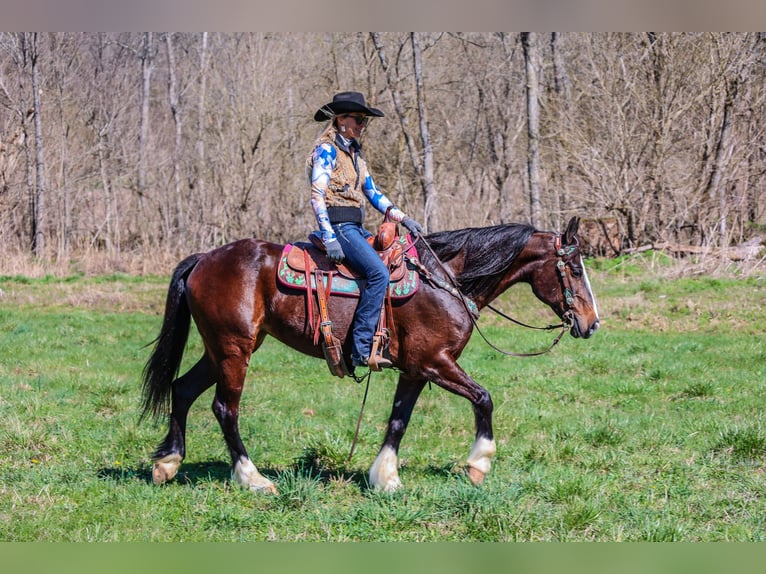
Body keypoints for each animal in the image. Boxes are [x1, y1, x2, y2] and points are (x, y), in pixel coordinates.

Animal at [142, 216, 600, 496]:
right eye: (576, 268)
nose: (592, 323)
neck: (446, 281)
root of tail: (204, 259)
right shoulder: (436, 362)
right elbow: (484, 398)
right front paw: (478, 464)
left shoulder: (416, 369)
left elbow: (399, 419)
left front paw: (385, 477)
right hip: (234, 350)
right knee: (225, 408)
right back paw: (253, 479)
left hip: (223, 348)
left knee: (182, 390)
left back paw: (168, 463)